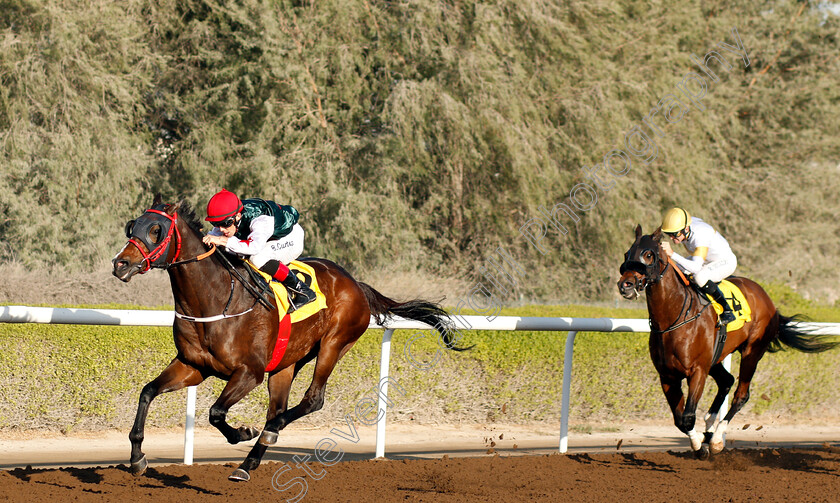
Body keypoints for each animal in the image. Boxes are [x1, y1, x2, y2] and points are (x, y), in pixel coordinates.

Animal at [110, 196, 466, 480]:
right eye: (132, 227)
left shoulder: (248, 372)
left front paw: (242, 431)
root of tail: (355, 283)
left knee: (309, 401)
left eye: (156, 230)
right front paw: (137, 459)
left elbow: (216, 412)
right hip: (287, 361)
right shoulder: (193, 366)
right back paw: (248, 463)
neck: (214, 298)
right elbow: (147, 392)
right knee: (278, 408)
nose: (121, 263)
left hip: (334, 345)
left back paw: (268, 434)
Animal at [612, 226, 836, 458]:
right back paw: (710, 427)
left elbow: (688, 416)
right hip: (716, 357)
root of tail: (768, 299)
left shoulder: (697, 371)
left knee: (741, 394)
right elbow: (680, 420)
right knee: (726, 381)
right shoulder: (667, 376)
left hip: (751, 353)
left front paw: (701, 447)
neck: (673, 319)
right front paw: (700, 439)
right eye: (627, 254)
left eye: (648, 254)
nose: (625, 285)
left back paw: (718, 438)